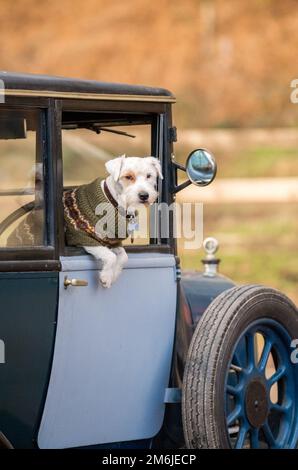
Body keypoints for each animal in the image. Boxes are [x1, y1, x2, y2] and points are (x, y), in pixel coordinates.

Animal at [64, 155, 163, 286]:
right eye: (128, 176)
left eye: (149, 176)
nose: (144, 195)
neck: (115, 203)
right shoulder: (83, 237)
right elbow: (111, 256)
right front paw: (106, 277)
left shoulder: (113, 241)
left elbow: (124, 257)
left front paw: (114, 274)